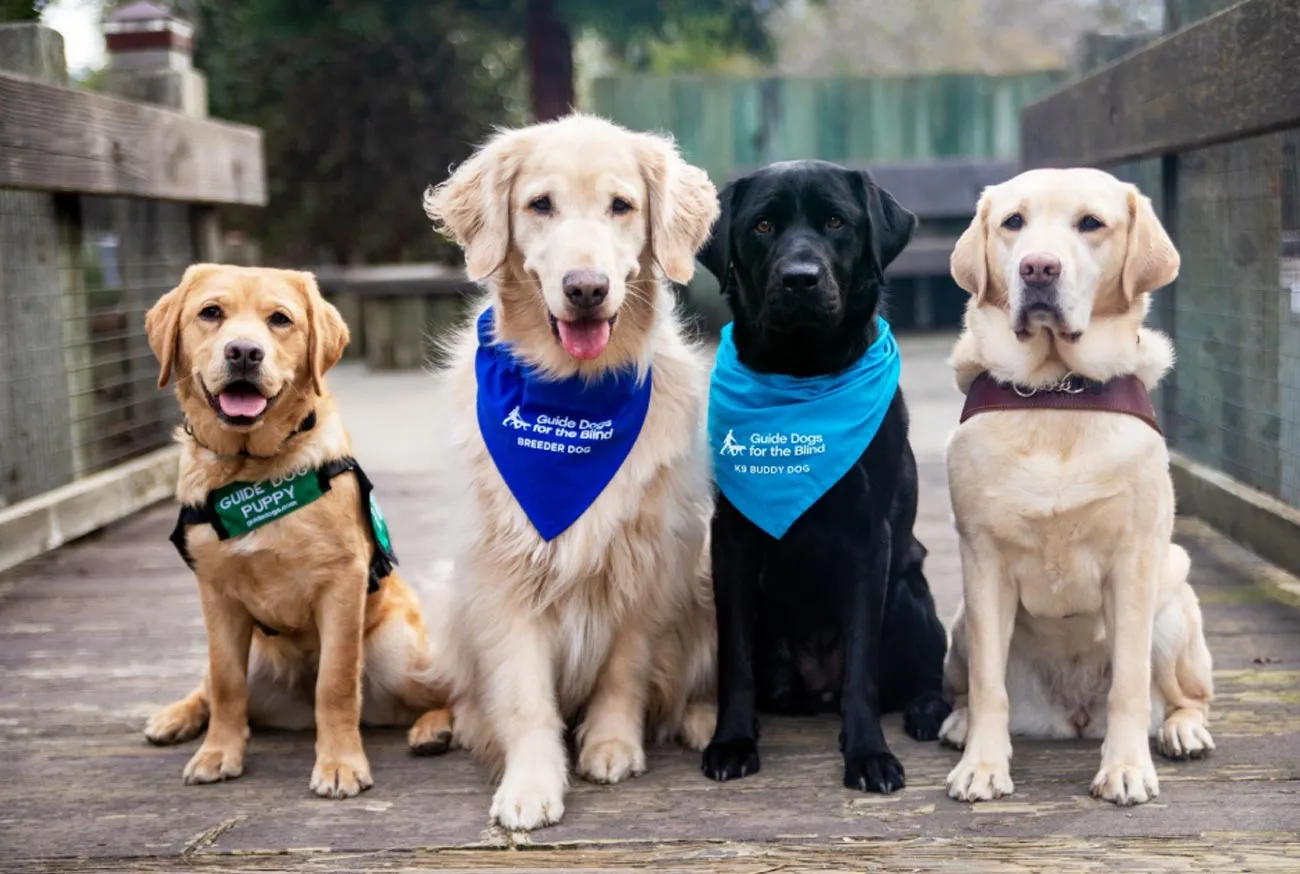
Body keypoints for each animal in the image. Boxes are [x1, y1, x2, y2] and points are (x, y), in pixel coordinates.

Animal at [143, 264, 452, 801]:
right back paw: (175, 716)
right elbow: (225, 682)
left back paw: (435, 729)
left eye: (280, 320)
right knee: (210, 686)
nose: (244, 352)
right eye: (211, 312)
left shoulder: (342, 584)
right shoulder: (216, 594)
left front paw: (340, 764)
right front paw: (218, 753)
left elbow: (335, 682)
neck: (250, 472)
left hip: (399, 655)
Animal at [421, 112, 717, 827]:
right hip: (450, 593)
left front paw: (611, 745)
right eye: (540, 205)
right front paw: (530, 784)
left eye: (621, 205)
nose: (587, 289)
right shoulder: (502, 570)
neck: (574, 395)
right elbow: (524, 694)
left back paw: (701, 719)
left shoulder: (651, 560)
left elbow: (625, 669)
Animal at [696, 160, 951, 795]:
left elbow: (862, 666)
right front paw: (731, 741)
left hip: (909, 596)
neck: (802, 372)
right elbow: (733, 661)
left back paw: (926, 711)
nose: (800, 279)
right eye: (762, 226)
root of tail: (816, 690)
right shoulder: (729, 540)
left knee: (924, 675)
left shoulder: (870, 540)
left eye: (837, 221)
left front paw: (868, 755)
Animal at [941, 167, 1211, 811]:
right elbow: (988, 685)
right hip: (960, 625)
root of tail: (1073, 717)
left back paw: (1183, 730)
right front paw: (982, 766)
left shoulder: (1133, 564)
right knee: (972, 686)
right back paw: (959, 724)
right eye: (1013, 222)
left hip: (1173, 606)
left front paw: (1126, 769)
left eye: (1091, 223)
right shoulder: (983, 563)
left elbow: (1129, 685)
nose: (1038, 268)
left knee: (1185, 695)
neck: (1057, 391)